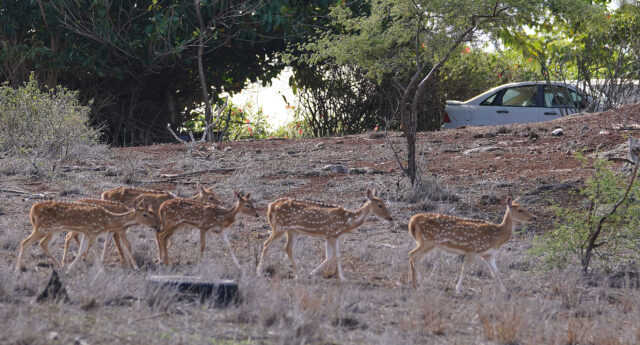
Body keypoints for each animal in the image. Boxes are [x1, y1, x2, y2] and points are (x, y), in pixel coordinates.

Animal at [15, 199, 156, 272]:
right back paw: (17, 268)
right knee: (24, 242)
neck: (108, 221)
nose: (154, 224)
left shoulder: (87, 233)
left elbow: (81, 250)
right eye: (145, 214)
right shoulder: (93, 232)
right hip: (43, 228)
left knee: (42, 243)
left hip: (53, 230)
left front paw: (70, 267)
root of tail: (33, 209)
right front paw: (101, 269)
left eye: (150, 213)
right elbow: (96, 251)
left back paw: (59, 265)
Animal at [258, 188, 392, 282]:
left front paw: (311, 273)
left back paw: (298, 274)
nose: (390, 217)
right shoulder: (333, 234)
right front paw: (343, 278)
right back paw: (259, 272)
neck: (347, 221)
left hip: (292, 230)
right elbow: (337, 256)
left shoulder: (328, 236)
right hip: (280, 227)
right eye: (380, 205)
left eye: (385, 203)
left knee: (288, 248)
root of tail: (270, 206)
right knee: (266, 244)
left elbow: (330, 256)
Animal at [408, 198, 536, 292]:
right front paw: (457, 289)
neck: (497, 236)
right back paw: (419, 284)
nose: (534, 217)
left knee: (414, 257)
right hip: (427, 241)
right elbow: (465, 269)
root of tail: (412, 221)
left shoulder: (488, 255)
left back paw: (417, 284)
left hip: (425, 242)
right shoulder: (472, 249)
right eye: (520, 209)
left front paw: (504, 291)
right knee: (413, 255)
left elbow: (496, 272)